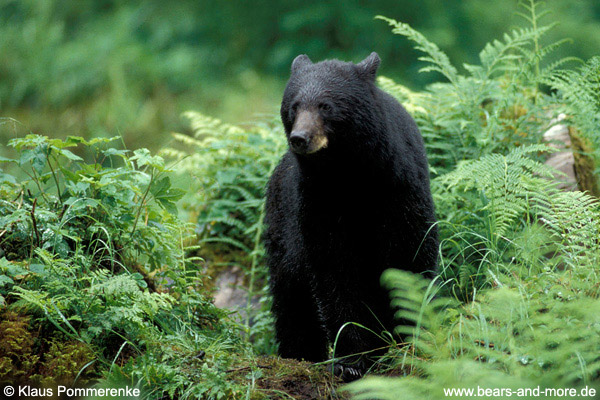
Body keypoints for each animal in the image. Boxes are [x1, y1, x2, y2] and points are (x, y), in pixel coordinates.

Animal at [264, 52, 438, 382]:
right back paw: (300, 354)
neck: (348, 174)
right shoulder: (317, 204)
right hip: (281, 227)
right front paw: (351, 361)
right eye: (294, 106)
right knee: (291, 296)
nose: (300, 138)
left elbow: (412, 255)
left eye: (325, 106)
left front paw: (411, 339)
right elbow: (334, 275)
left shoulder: (400, 190)